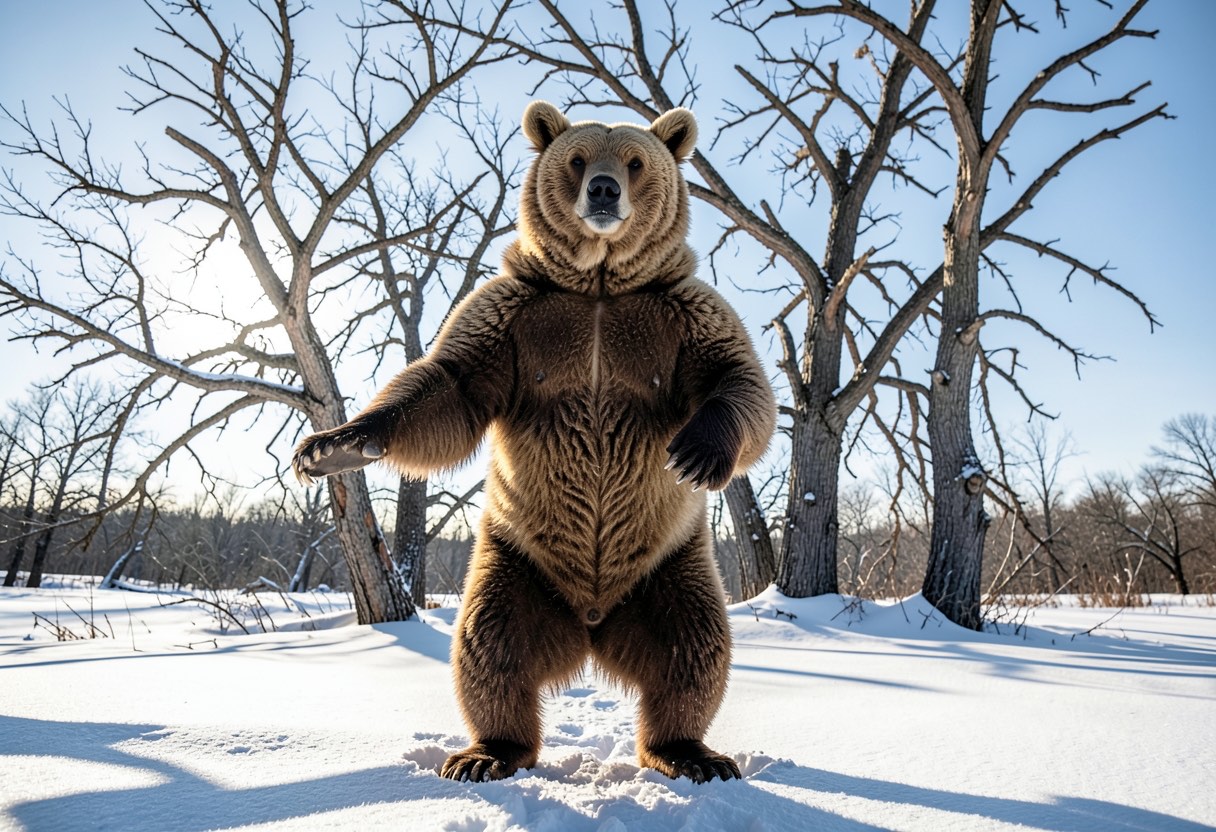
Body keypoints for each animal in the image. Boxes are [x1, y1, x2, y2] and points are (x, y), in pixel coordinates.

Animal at [292, 101, 777, 784]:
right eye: (578, 158)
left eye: (634, 160)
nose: (603, 191)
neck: (599, 286)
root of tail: (593, 624)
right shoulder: (513, 319)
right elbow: (448, 385)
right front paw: (330, 445)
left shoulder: (683, 318)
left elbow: (739, 380)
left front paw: (696, 451)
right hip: (516, 561)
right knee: (490, 646)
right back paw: (484, 753)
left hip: (670, 564)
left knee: (693, 648)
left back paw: (690, 752)